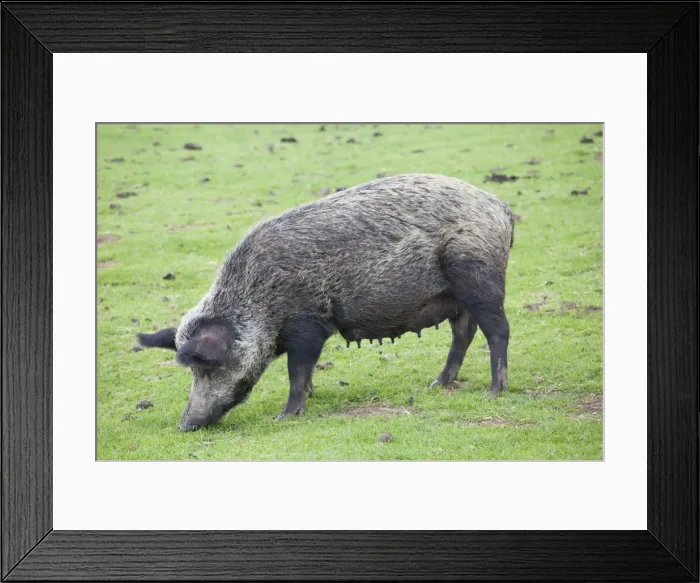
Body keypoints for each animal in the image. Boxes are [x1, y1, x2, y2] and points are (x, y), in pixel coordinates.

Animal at [137, 173, 515, 431]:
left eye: (208, 366)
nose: (185, 425)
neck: (258, 299)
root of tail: (501, 207)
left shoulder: (308, 324)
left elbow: (296, 369)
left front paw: (286, 415)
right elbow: (304, 372)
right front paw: (312, 395)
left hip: (479, 277)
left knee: (498, 330)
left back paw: (493, 392)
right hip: (458, 295)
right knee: (463, 334)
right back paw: (438, 384)